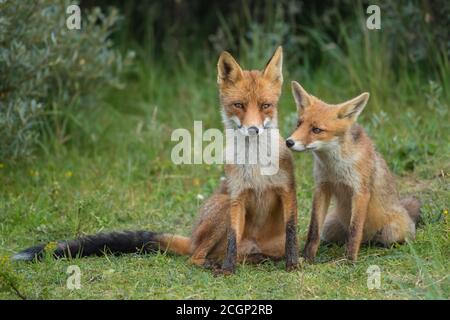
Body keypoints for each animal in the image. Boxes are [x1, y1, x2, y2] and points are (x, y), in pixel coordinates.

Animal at [13, 48, 298, 276]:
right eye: (238, 105)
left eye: (266, 106)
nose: (253, 130)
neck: (257, 165)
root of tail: (191, 237)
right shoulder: (237, 197)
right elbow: (231, 242)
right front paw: (228, 271)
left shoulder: (287, 191)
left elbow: (292, 232)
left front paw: (294, 265)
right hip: (222, 205)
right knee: (196, 257)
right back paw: (215, 264)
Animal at [286, 81, 420, 262]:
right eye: (299, 124)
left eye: (316, 130)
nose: (289, 142)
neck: (335, 169)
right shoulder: (322, 188)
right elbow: (313, 230)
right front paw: (307, 258)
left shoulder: (360, 192)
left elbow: (355, 230)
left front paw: (348, 260)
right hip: (330, 226)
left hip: (391, 232)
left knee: (380, 239)